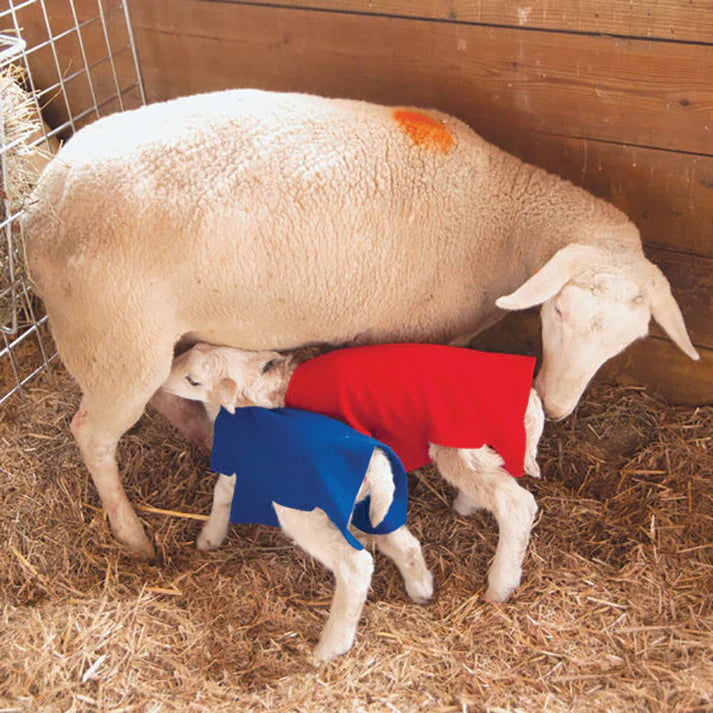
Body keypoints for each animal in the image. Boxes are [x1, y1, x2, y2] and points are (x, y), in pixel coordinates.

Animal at [22, 89, 698, 557]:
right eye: (559, 311)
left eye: (628, 341)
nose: (556, 406)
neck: (503, 218)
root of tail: (39, 202)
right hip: (113, 337)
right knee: (93, 434)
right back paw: (133, 535)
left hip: (142, 342)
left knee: (164, 393)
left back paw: (200, 435)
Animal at [162, 342, 545, 603]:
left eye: (192, 380)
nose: (162, 378)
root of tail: (527, 395)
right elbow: (225, 490)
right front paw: (210, 537)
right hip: (475, 445)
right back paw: (467, 505)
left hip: (456, 441)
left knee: (515, 504)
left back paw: (500, 584)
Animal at [164, 350, 433, 661]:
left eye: (193, 380)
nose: (164, 379)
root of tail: (374, 467)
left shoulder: (236, 466)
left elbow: (222, 495)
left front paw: (209, 538)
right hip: (376, 506)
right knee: (405, 543)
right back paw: (421, 587)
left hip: (307, 517)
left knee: (356, 566)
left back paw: (330, 647)